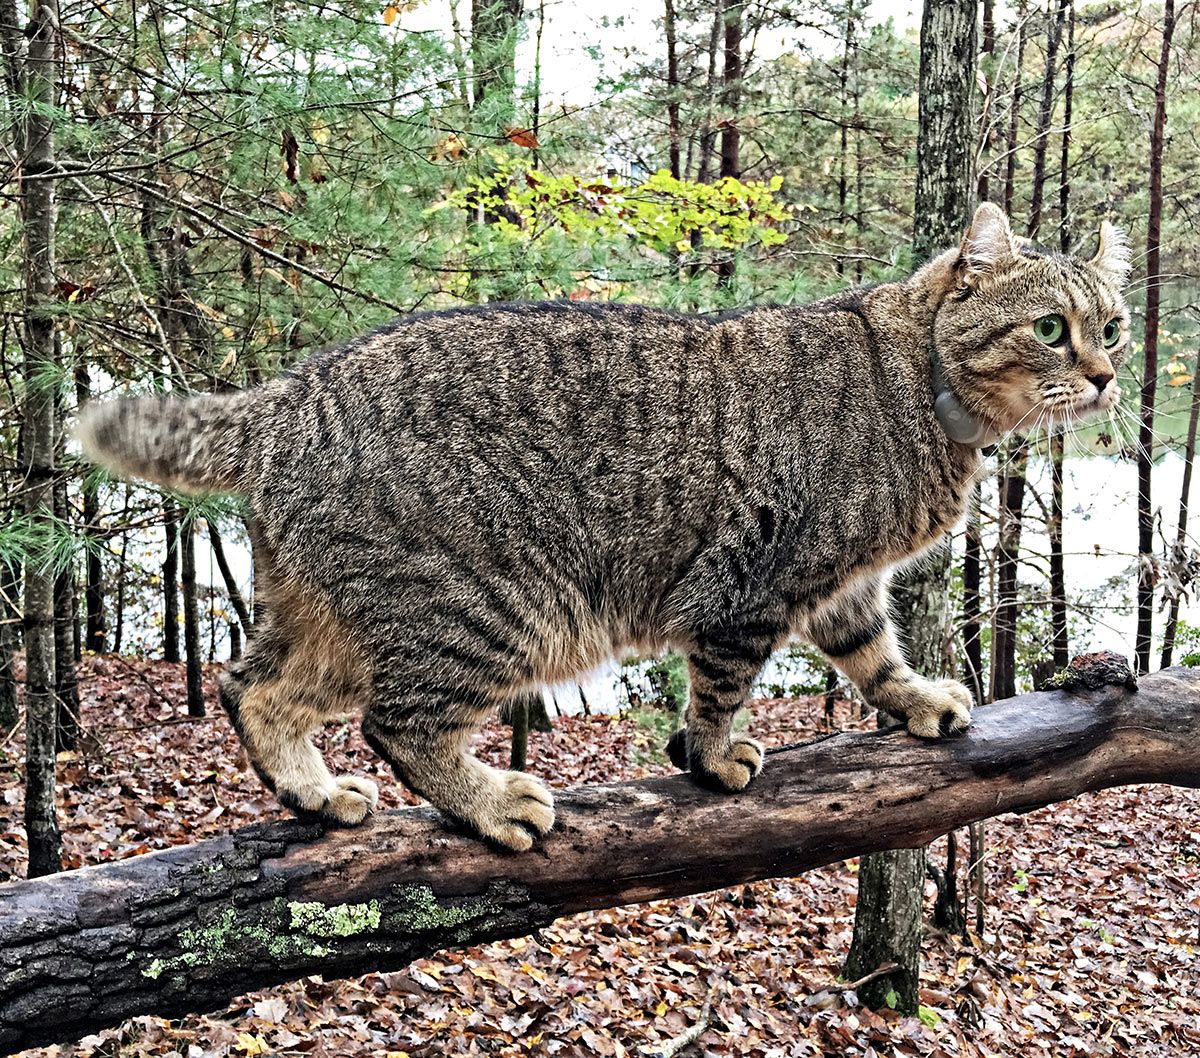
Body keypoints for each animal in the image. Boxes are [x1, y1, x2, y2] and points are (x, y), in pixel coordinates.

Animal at [79, 203, 1128, 849]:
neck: (926, 390)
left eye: (1112, 325)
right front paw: (711, 754)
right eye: (1050, 328)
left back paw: (313, 791)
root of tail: (289, 393)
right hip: (489, 609)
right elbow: (721, 687)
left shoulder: (843, 584)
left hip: (330, 618)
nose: (1111, 373)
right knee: (397, 722)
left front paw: (913, 700)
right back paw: (490, 802)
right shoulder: (757, 580)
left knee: (249, 687)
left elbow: (873, 654)